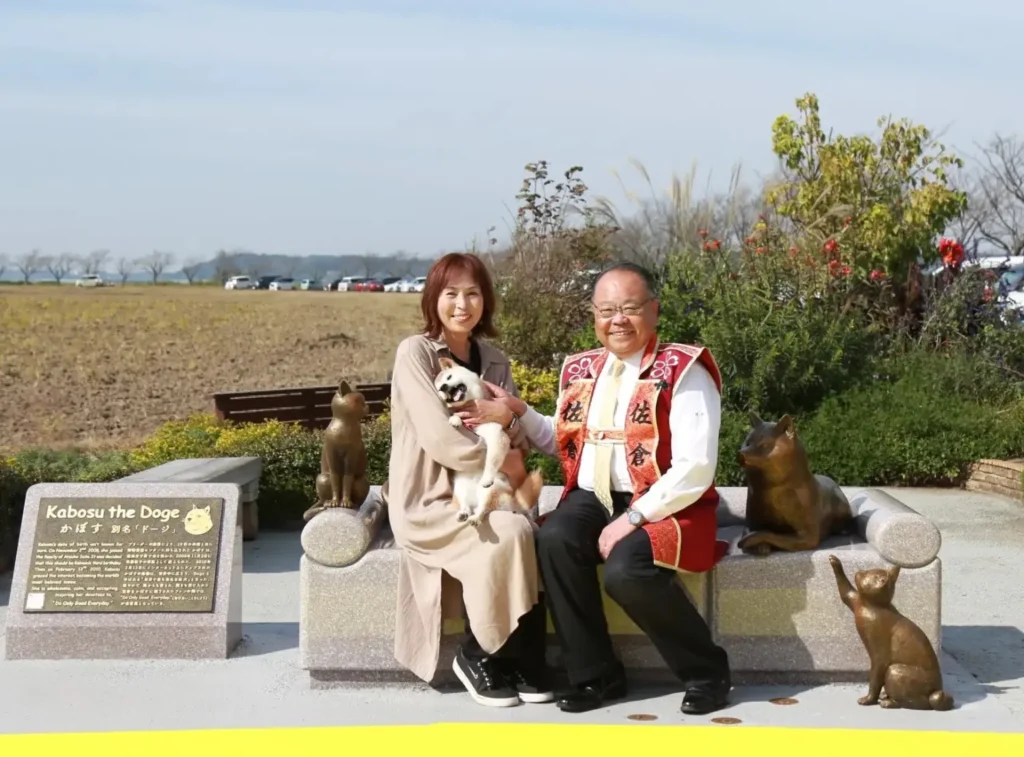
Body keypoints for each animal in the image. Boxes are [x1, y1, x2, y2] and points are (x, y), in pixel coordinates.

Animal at [432, 360, 544, 528]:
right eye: (439, 389)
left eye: (449, 377)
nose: (444, 387)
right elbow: (458, 416)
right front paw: (455, 419)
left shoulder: (496, 434)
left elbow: (491, 459)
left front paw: (487, 476)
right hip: (460, 487)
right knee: (467, 506)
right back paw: (464, 513)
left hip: (492, 490)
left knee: (483, 509)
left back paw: (475, 517)